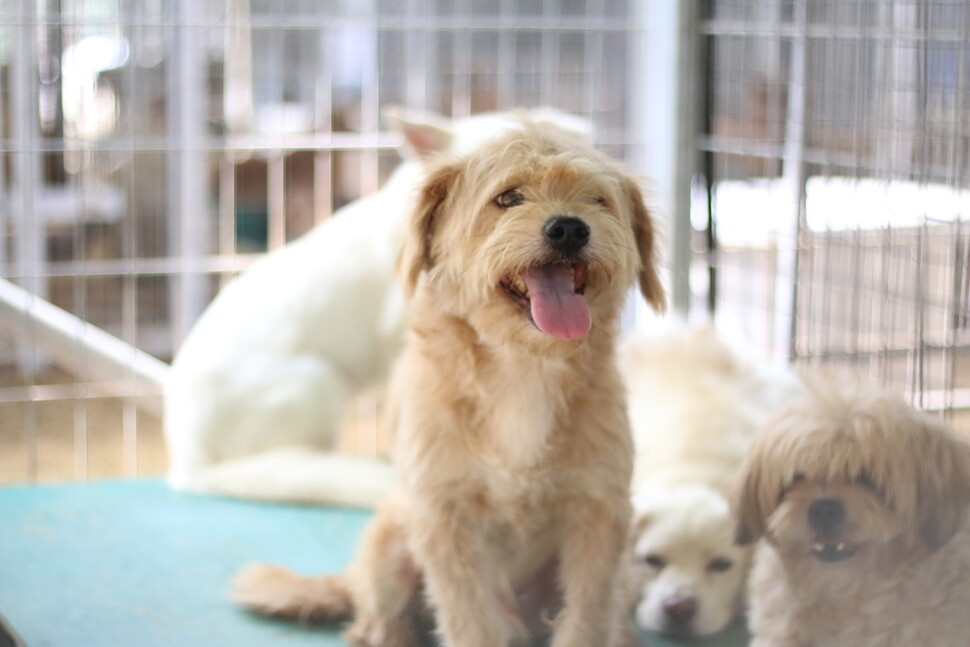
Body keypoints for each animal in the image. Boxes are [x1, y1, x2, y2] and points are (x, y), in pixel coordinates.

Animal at [230, 117, 664, 647]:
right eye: (508, 197)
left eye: (597, 199)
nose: (568, 228)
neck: (522, 369)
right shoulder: (445, 520)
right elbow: (469, 618)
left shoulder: (599, 515)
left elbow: (587, 619)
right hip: (391, 541)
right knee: (381, 622)